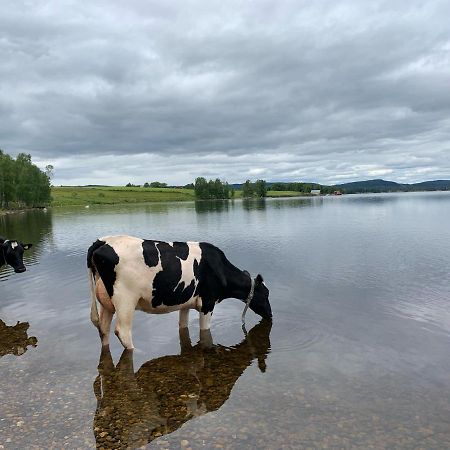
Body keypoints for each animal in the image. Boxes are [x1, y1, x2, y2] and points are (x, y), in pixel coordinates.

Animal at [87, 234, 270, 350]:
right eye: (266, 294)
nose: (270, 314)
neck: (220, 268)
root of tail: (103, 241)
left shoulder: (186, 303)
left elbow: (183, 327)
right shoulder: (208, 303)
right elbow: (205, 332)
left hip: (107, 303)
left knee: (104, 329)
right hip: (125, 300)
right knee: (123, 332)